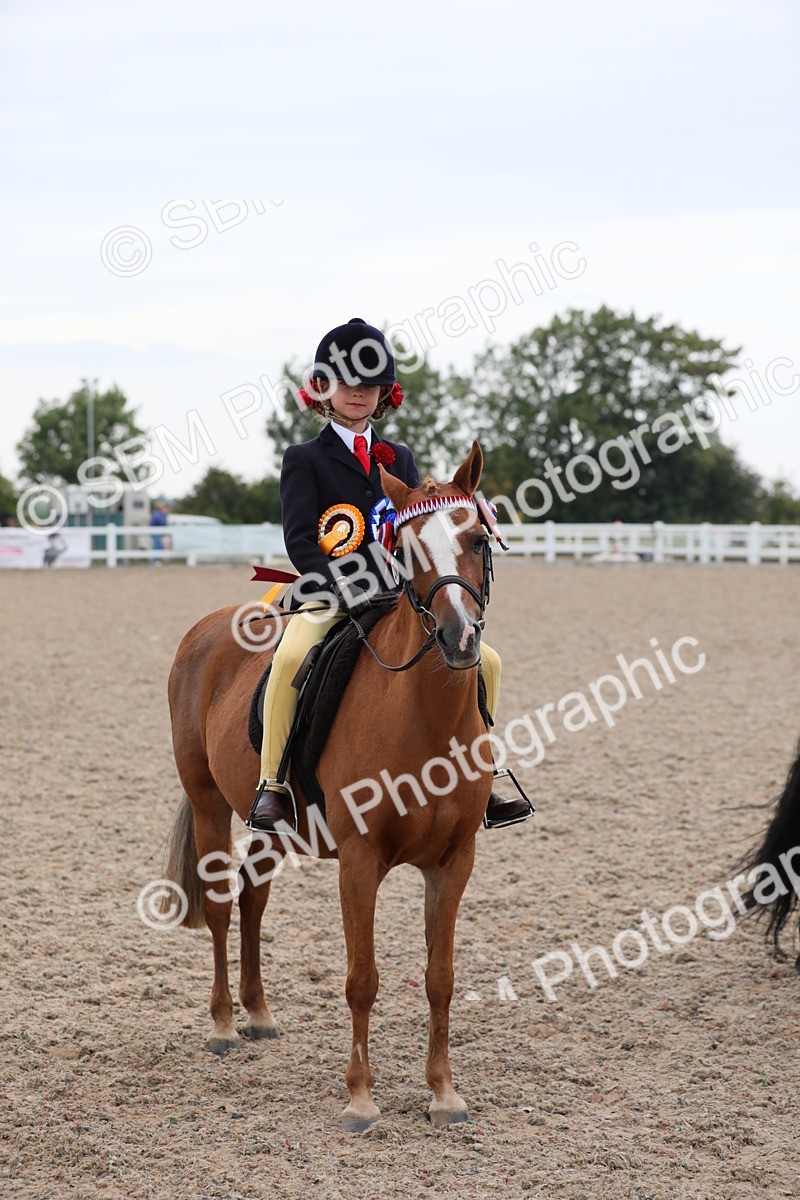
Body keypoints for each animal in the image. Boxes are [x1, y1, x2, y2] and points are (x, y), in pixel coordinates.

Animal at [162, 441, 501, 1132]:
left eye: (478, 538)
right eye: (408, 550)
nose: (459, 639)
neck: (423, 715)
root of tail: (208, 628)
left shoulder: (455, 861)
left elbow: (441, 977)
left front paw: (443, 1093)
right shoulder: (360, 861)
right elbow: (361, 979)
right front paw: (361, 1098)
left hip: (270, 825)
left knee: (252, 897)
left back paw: (259, 1014)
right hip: (209, 803)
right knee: (219, 903)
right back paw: (223, 1026)